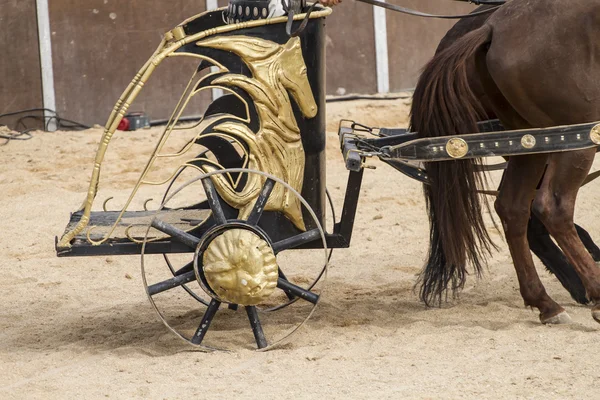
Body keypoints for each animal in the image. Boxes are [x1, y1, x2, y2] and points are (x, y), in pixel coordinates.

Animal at [410, 0, 600, 324]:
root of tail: (493, 26)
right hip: (576, 138)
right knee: (552, 208)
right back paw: (592, 292)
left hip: (531, 141)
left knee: (514, 208)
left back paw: (546, 302)